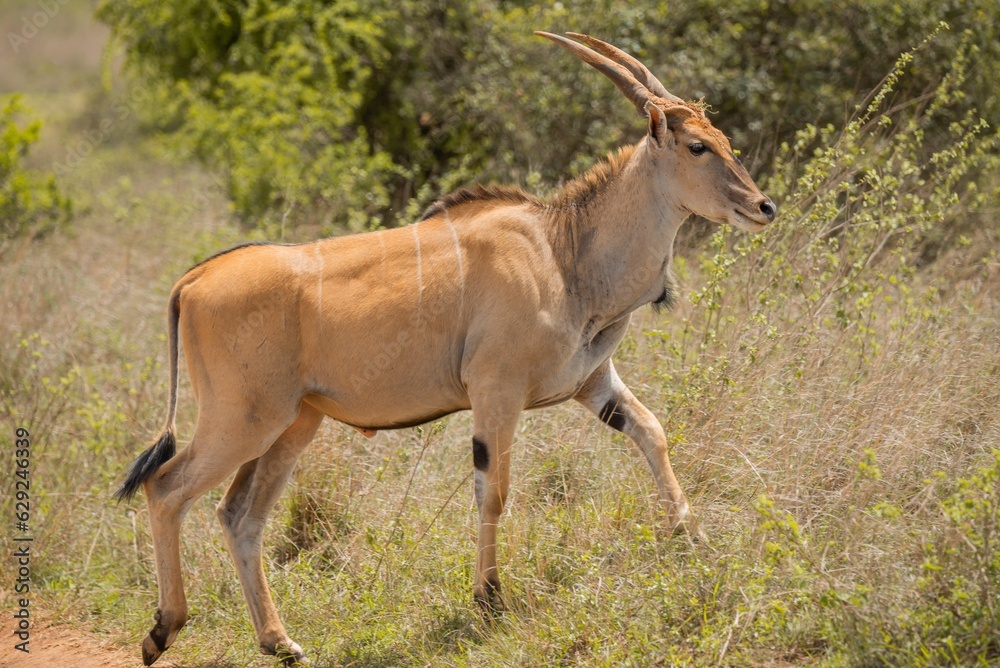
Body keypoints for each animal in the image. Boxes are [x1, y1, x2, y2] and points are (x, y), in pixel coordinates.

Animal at [115, 31, 772, 668]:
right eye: (697, 147)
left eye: (724, 140)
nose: (763, 206)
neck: (564, 251)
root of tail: (194, 280)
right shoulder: (496, 391)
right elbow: (494, 489)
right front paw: (489, 600)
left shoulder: (593, 384)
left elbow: (653, 432)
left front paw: (693, 538)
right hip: (243, 422)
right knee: (166, 488)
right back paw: (163, 630)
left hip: (292, 426)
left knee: (239, 516)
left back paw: (280, 642)